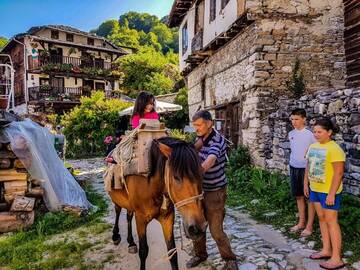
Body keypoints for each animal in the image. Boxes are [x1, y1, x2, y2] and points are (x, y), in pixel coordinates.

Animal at [107, 137, 207, 270]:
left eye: (202, 174)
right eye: (176, 177)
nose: (198, 228)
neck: (151, 186)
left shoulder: (168, 218)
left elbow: (172, 252)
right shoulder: (140, 219)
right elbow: (143, 251)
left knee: (128, 216)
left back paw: (131, 243)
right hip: (117, 199)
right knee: (118, 211)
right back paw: (115, 236)